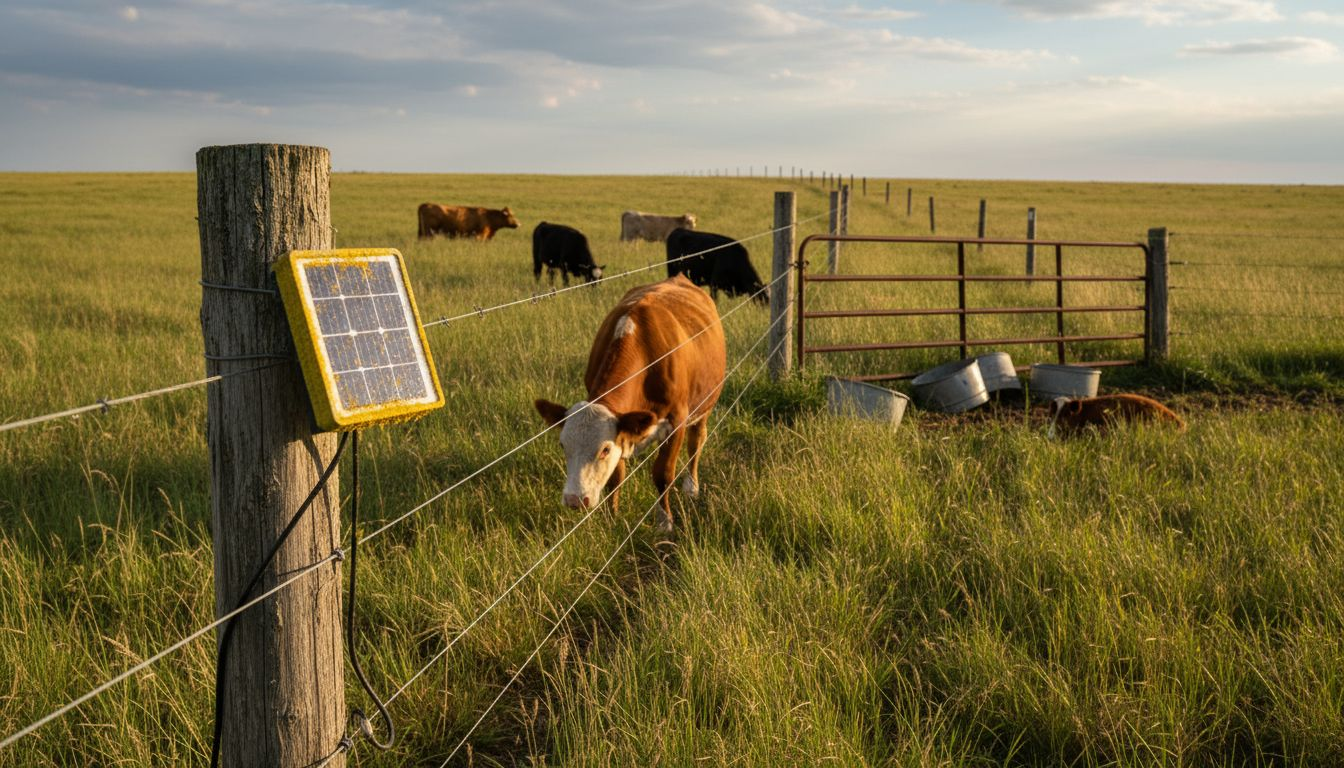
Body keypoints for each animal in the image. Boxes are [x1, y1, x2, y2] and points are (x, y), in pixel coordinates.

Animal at [534, 275, 727, 532]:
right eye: (562, 445)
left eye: (604, 449)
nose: (575, 500)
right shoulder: (622, 429)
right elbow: (616, 477)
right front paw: (611, 516)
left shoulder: (676, 421)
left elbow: (663, 474)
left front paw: (664, 522)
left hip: (704, 407)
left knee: (696, 443)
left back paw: (691, 488)